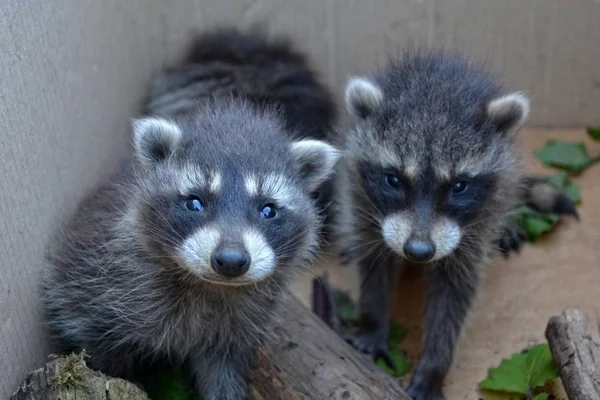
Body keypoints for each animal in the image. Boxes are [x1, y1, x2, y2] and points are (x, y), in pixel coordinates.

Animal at [44, 28, 340, 400]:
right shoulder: (96, 289)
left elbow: (224, 372)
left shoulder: (237, 327)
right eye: (195, 203)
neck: (207, 286)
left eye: (268, 210)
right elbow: (101, 354)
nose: (231, 261)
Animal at [336, 50, 576, 400]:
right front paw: (372, 322)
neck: (437, 85)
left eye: (459, 186)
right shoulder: (361, 198)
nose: (418, 251)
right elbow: (374, 265)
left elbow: (454, 297)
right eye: (393, 180)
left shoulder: (476, 228)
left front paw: (434, 365)